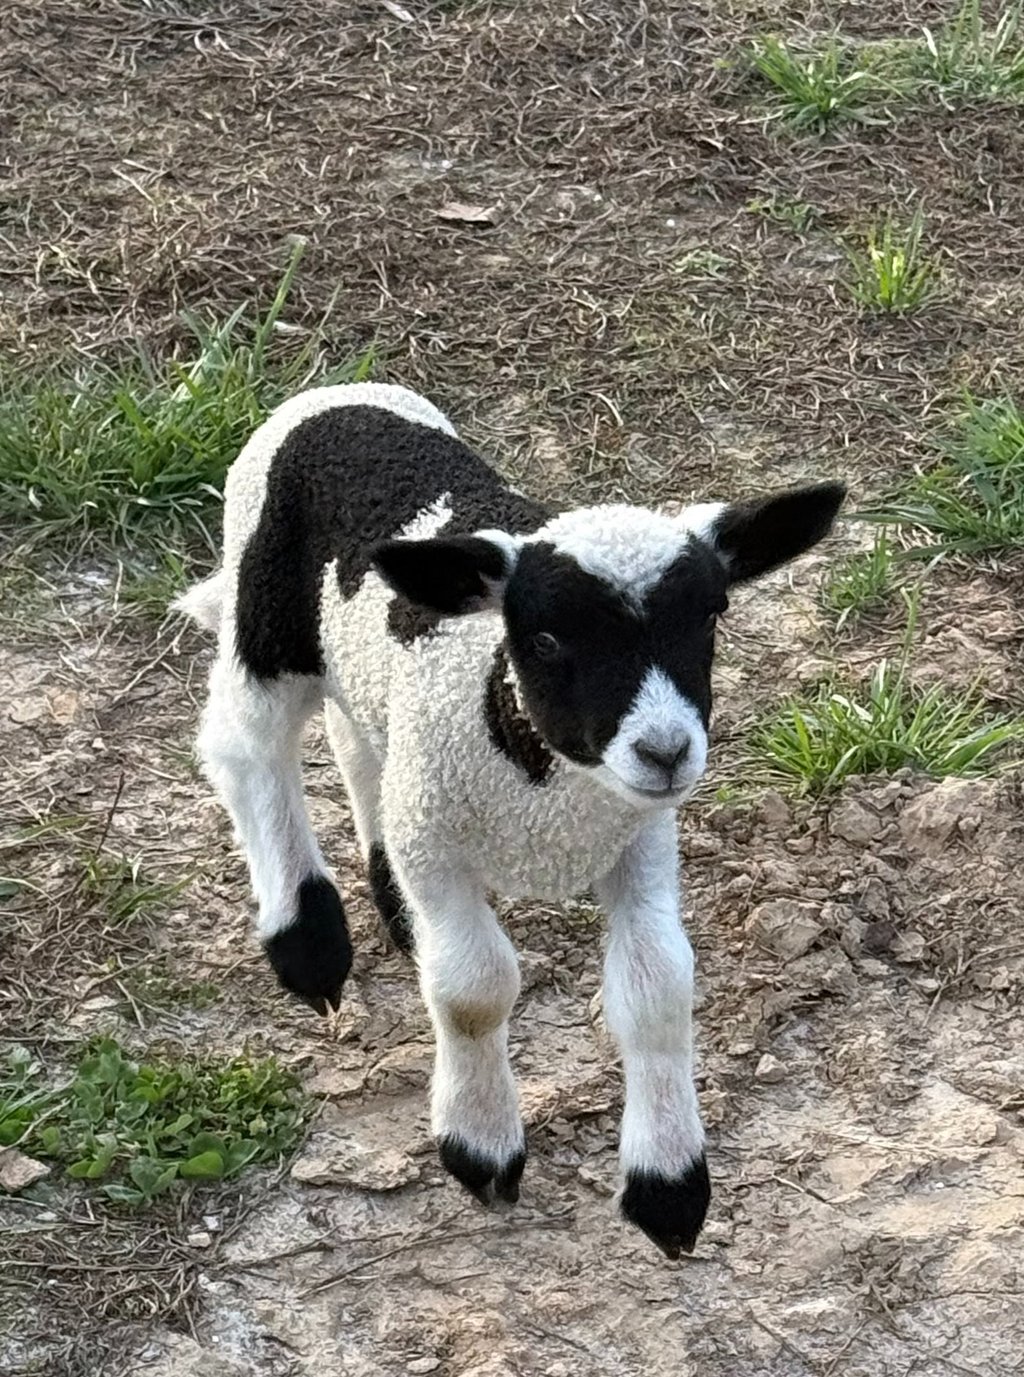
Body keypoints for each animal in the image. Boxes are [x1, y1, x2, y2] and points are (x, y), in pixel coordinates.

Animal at [175, 381, 844, 1258]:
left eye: (709, 618)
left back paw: (389, 908)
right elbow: (474, 988)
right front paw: (480, 1145)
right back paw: (308, 938)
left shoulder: (640, 841)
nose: (666, 751)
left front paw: (668, 1185)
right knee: (247, 747)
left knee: (357, 743)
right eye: (549, 637)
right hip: (268, 619)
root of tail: (334, 393)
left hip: (375, 694)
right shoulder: (437, 841)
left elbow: (657, 987)